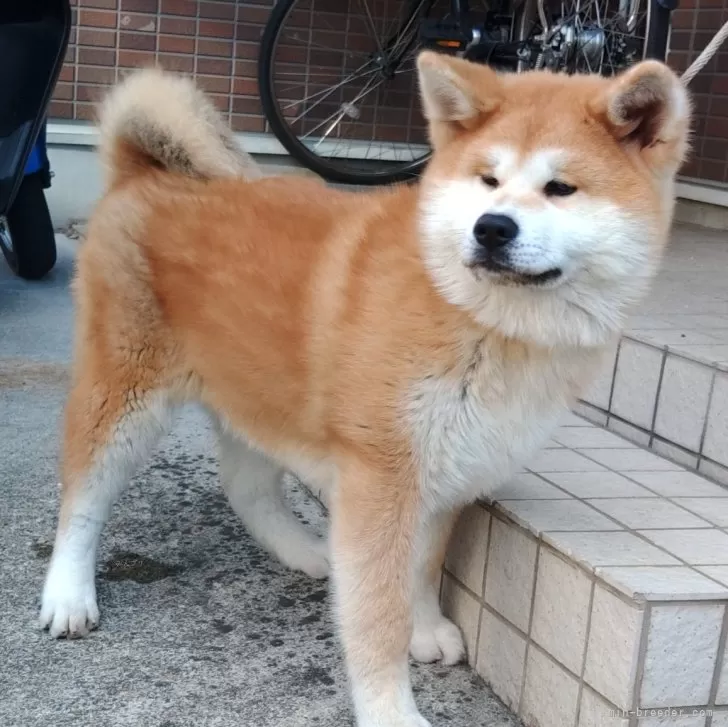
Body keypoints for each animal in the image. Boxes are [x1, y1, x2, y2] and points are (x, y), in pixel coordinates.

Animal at [38, 52, 688, 727]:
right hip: (125, 394)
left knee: (246, 487)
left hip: (257, 389)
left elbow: (421, 569)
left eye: (561, 188)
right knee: (83, 496)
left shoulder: (445, 466)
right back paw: (68, 594)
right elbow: (378, 613)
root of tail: (139, 172)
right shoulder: (381, 477)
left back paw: (306, 551)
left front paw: (424, 628)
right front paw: (390, 710)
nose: (491, 228)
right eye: (488, 180)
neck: (478, 317)